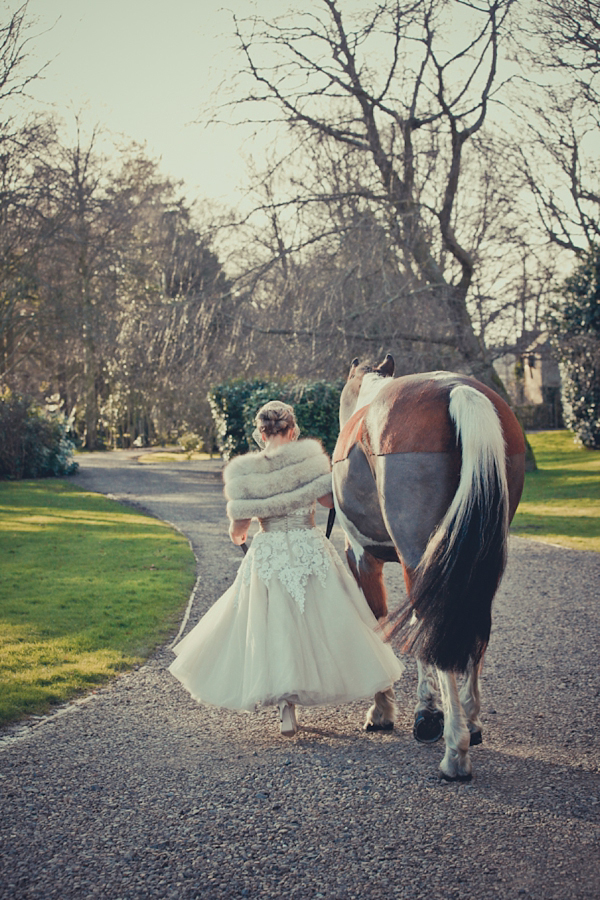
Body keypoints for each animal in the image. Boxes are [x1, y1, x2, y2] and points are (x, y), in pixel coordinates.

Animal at [332, 354, 524, 780]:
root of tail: (457, 389)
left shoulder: (363, 558)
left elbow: (381, 625)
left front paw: (386, 709)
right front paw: (427, 710)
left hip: (419, 557)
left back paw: (456, 750)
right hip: (474, 557)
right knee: (470, 628)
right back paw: (470, 721)